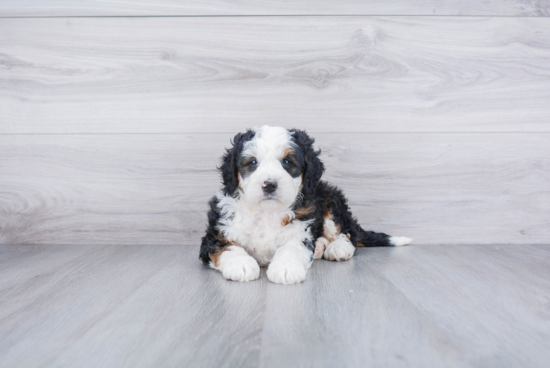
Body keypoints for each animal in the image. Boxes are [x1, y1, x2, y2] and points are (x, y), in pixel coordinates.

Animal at [201, 126, 412, 284]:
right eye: (252, 162)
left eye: (287, 162)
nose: (269, 184)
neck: (267, 211)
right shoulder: (216, 234)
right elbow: (227, 247)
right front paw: (241, 265)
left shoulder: (300, 231)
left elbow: (291, 248)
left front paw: (286, 268)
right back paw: (319, 247)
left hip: (330, 199)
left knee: (347, 233)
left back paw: (337, 248)